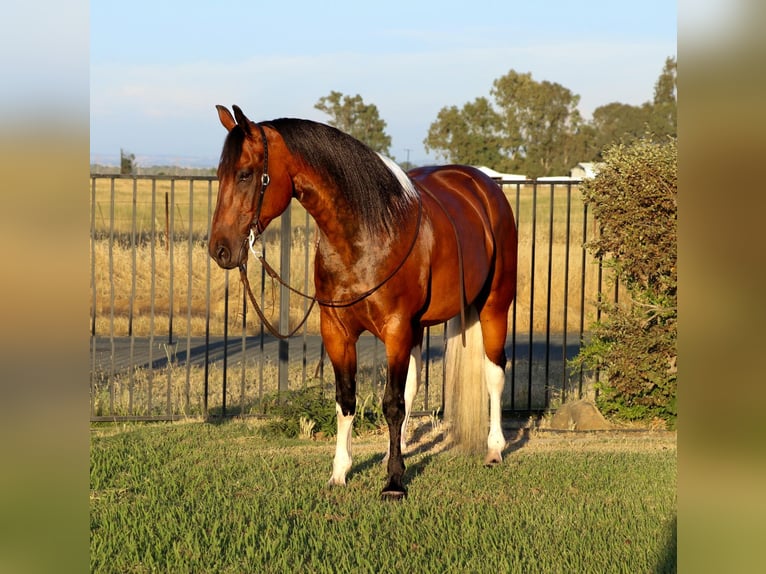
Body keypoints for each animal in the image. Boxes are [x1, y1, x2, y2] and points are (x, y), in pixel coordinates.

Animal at [208, 105, 517, 499]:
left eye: (245, 174)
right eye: (221, 174)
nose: (219, 249)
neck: (367, 234)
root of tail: (483, 186)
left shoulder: (396, 329)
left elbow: (392, 404)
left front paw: (394, 482)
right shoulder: (338, 332)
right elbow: (348, 400)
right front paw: (340, 472)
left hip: (494, 306)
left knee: (494, 373)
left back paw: (494, 449)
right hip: (420, 327)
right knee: (413, 386)